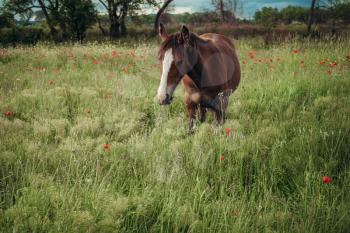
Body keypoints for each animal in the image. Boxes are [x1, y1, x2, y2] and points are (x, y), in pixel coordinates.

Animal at [156, 3, 241, 133]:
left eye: (180, 61)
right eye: (159, 59)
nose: (162, 97)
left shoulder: (220, 105)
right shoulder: (190, 105)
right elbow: (190, 129)